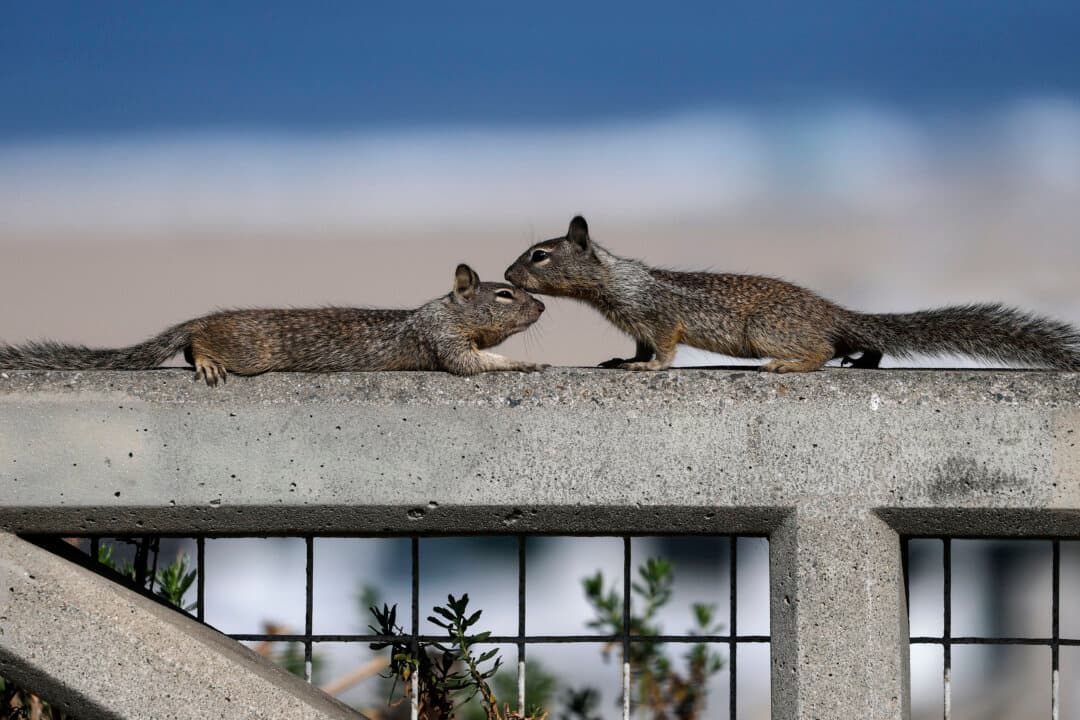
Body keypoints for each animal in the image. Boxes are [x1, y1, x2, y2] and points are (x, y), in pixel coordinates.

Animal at [504, 215, 1080, 373]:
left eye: (540, 255)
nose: (508, 273)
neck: (614, 282)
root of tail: (835, 312)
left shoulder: (658, 316)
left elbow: (664, 348)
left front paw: (648, 369)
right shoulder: (637, 322)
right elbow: (639, 345)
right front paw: (623, 361)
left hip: (767, 329)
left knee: (821, 351)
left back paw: (791, 364)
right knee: (858, 346)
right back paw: (864, 358)